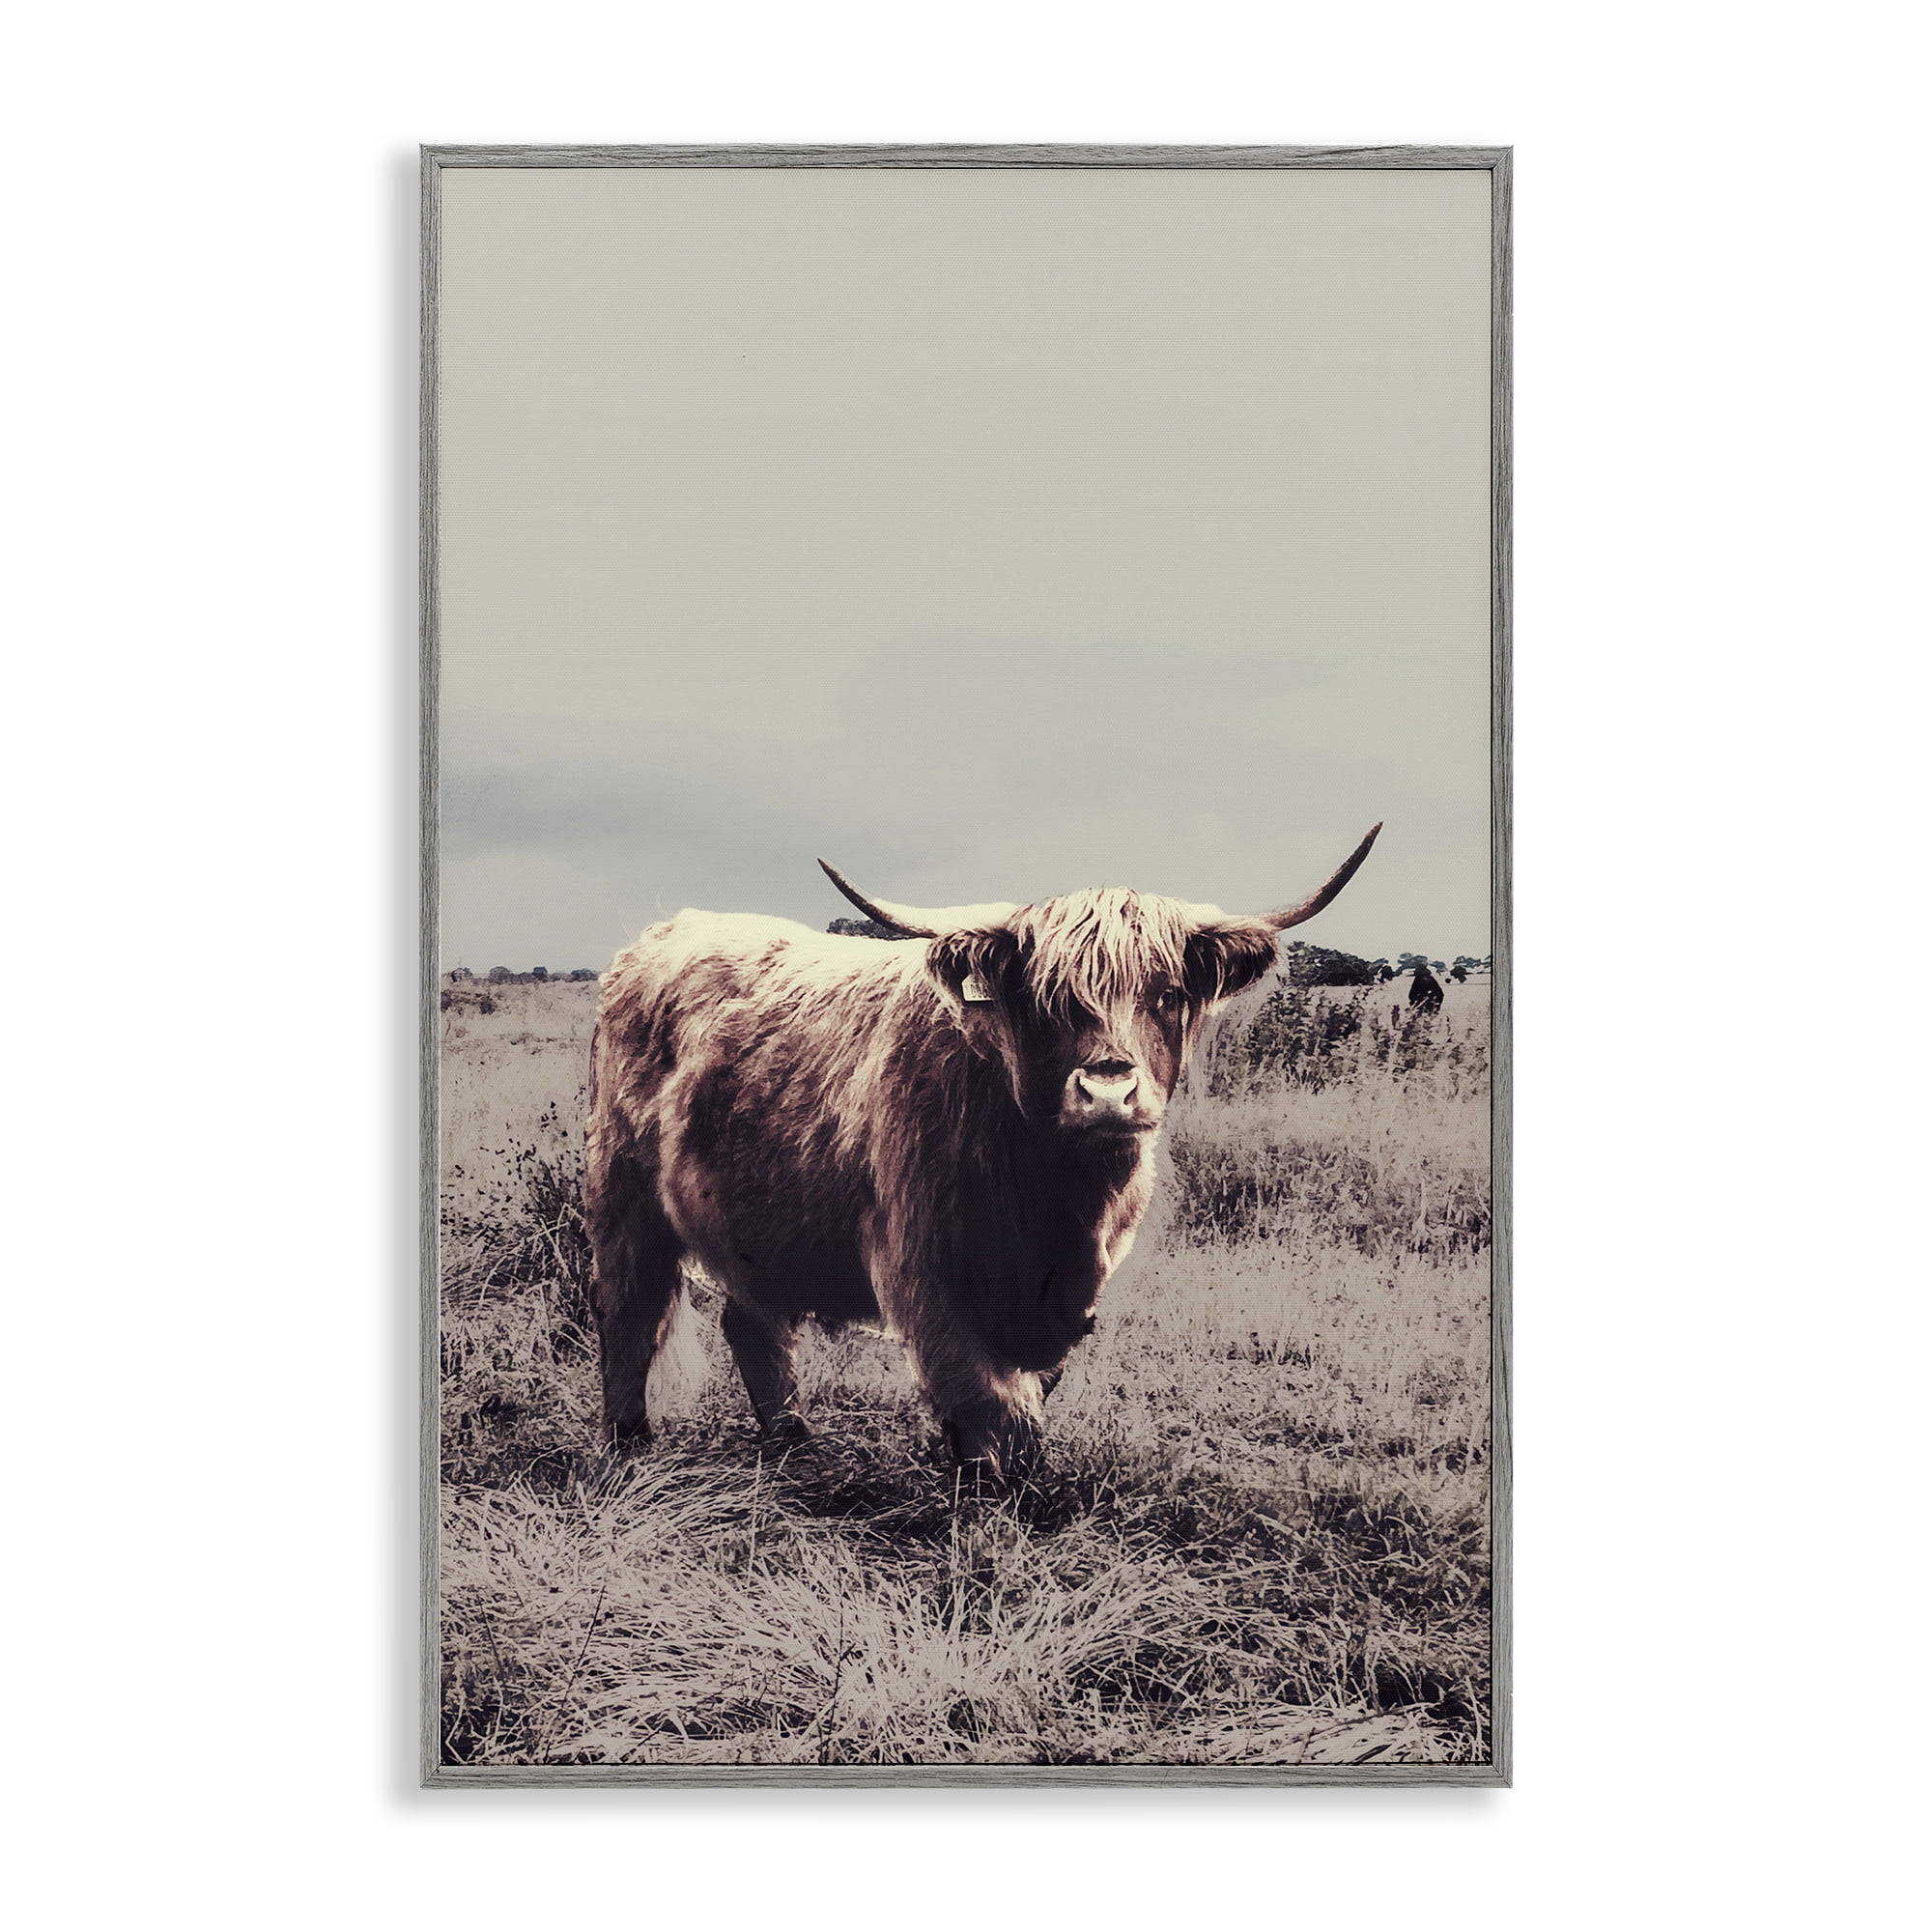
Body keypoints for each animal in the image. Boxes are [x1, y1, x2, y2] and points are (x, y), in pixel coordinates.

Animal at [584, 825, 1381, 1479]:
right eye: (1045, 1000)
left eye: (1169, 993)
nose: (1108, 1091)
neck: (1055, 1198)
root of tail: (663, 933)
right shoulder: (923, 1265)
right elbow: (985, 1397)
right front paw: (990, 1490)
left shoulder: (1072, 1290)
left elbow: (1030, 1389)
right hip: (623, 1196)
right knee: (629, 1311)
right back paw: (629, 1443)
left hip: (753, 1221)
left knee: (752, 1322)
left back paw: (791, 1442)